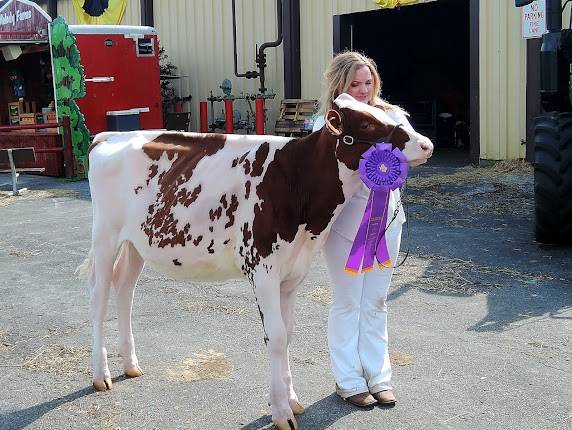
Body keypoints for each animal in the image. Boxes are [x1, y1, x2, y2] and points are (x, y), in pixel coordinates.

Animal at [77, 93, 434, 426]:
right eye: (368, 124)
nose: (426, 144)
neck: (297, 182)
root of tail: (108, 136)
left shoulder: (292, 272)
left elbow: (288, 334)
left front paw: (292, 401)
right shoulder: (261, 268)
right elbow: (275, 337)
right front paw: (281, 413)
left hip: (136, 243)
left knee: (125, 291)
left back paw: (130, 365)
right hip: (105, 235)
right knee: (98, 299)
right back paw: (101, 374)